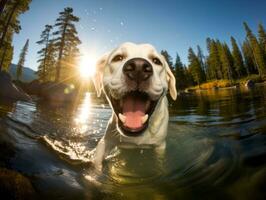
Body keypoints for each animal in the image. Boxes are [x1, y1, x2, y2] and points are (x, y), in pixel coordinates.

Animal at [91, 42, 177, 170]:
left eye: (156, 61)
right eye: (118, 58)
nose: (138, 67)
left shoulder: (160, 146)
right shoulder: (106, 141)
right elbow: (97, 162)